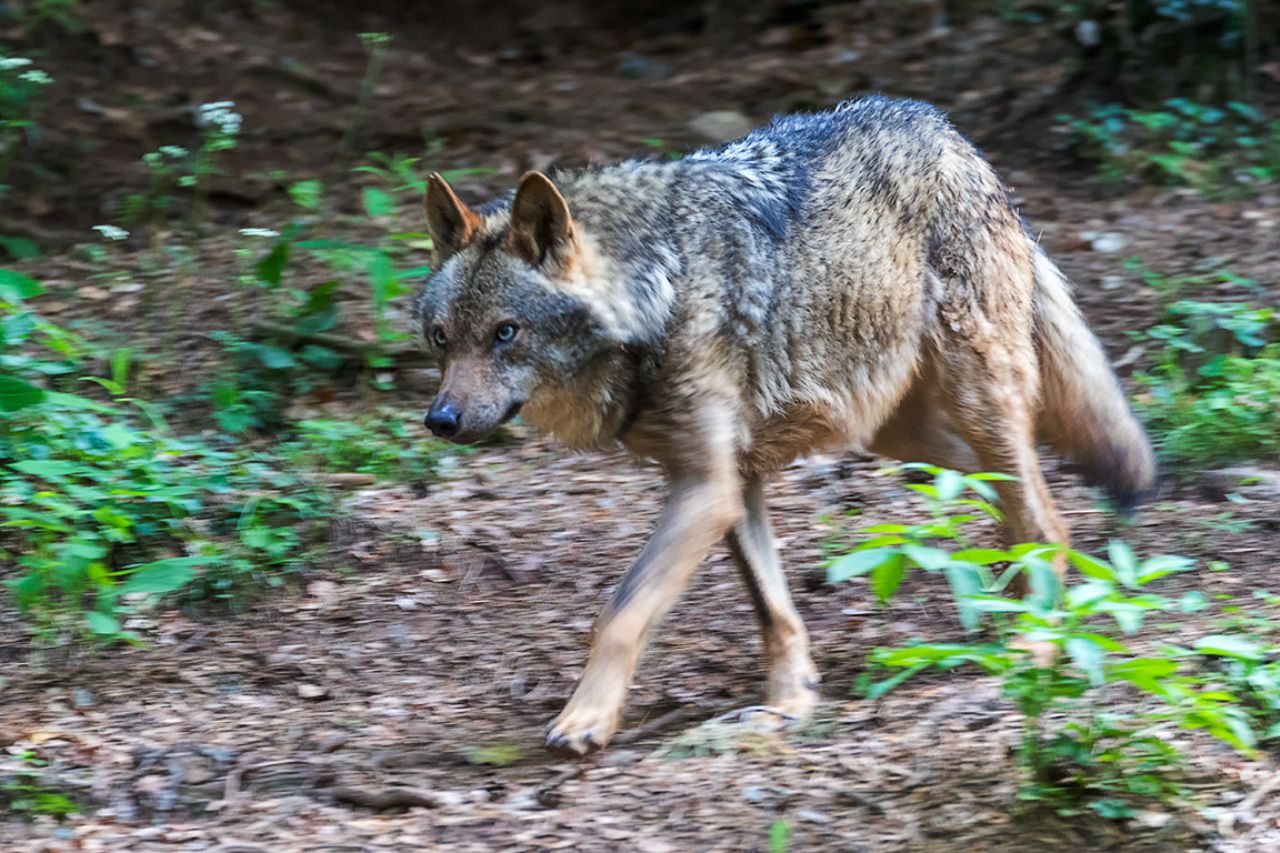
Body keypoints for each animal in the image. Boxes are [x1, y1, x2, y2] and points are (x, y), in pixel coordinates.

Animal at [411, 96, 1156, 757]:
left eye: (506, 333)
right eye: (442, 338)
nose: (440, 420)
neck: (660, 287)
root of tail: (946, 130)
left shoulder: (706, 488)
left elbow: (618, 615)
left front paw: (585, 718)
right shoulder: (730, 483)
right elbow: (773, 612)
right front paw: (789, 705)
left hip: (977, 401)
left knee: (1047, 519)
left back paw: (1036, 639)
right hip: (901, 435)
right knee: (1011, 503)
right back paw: (1003, 604)